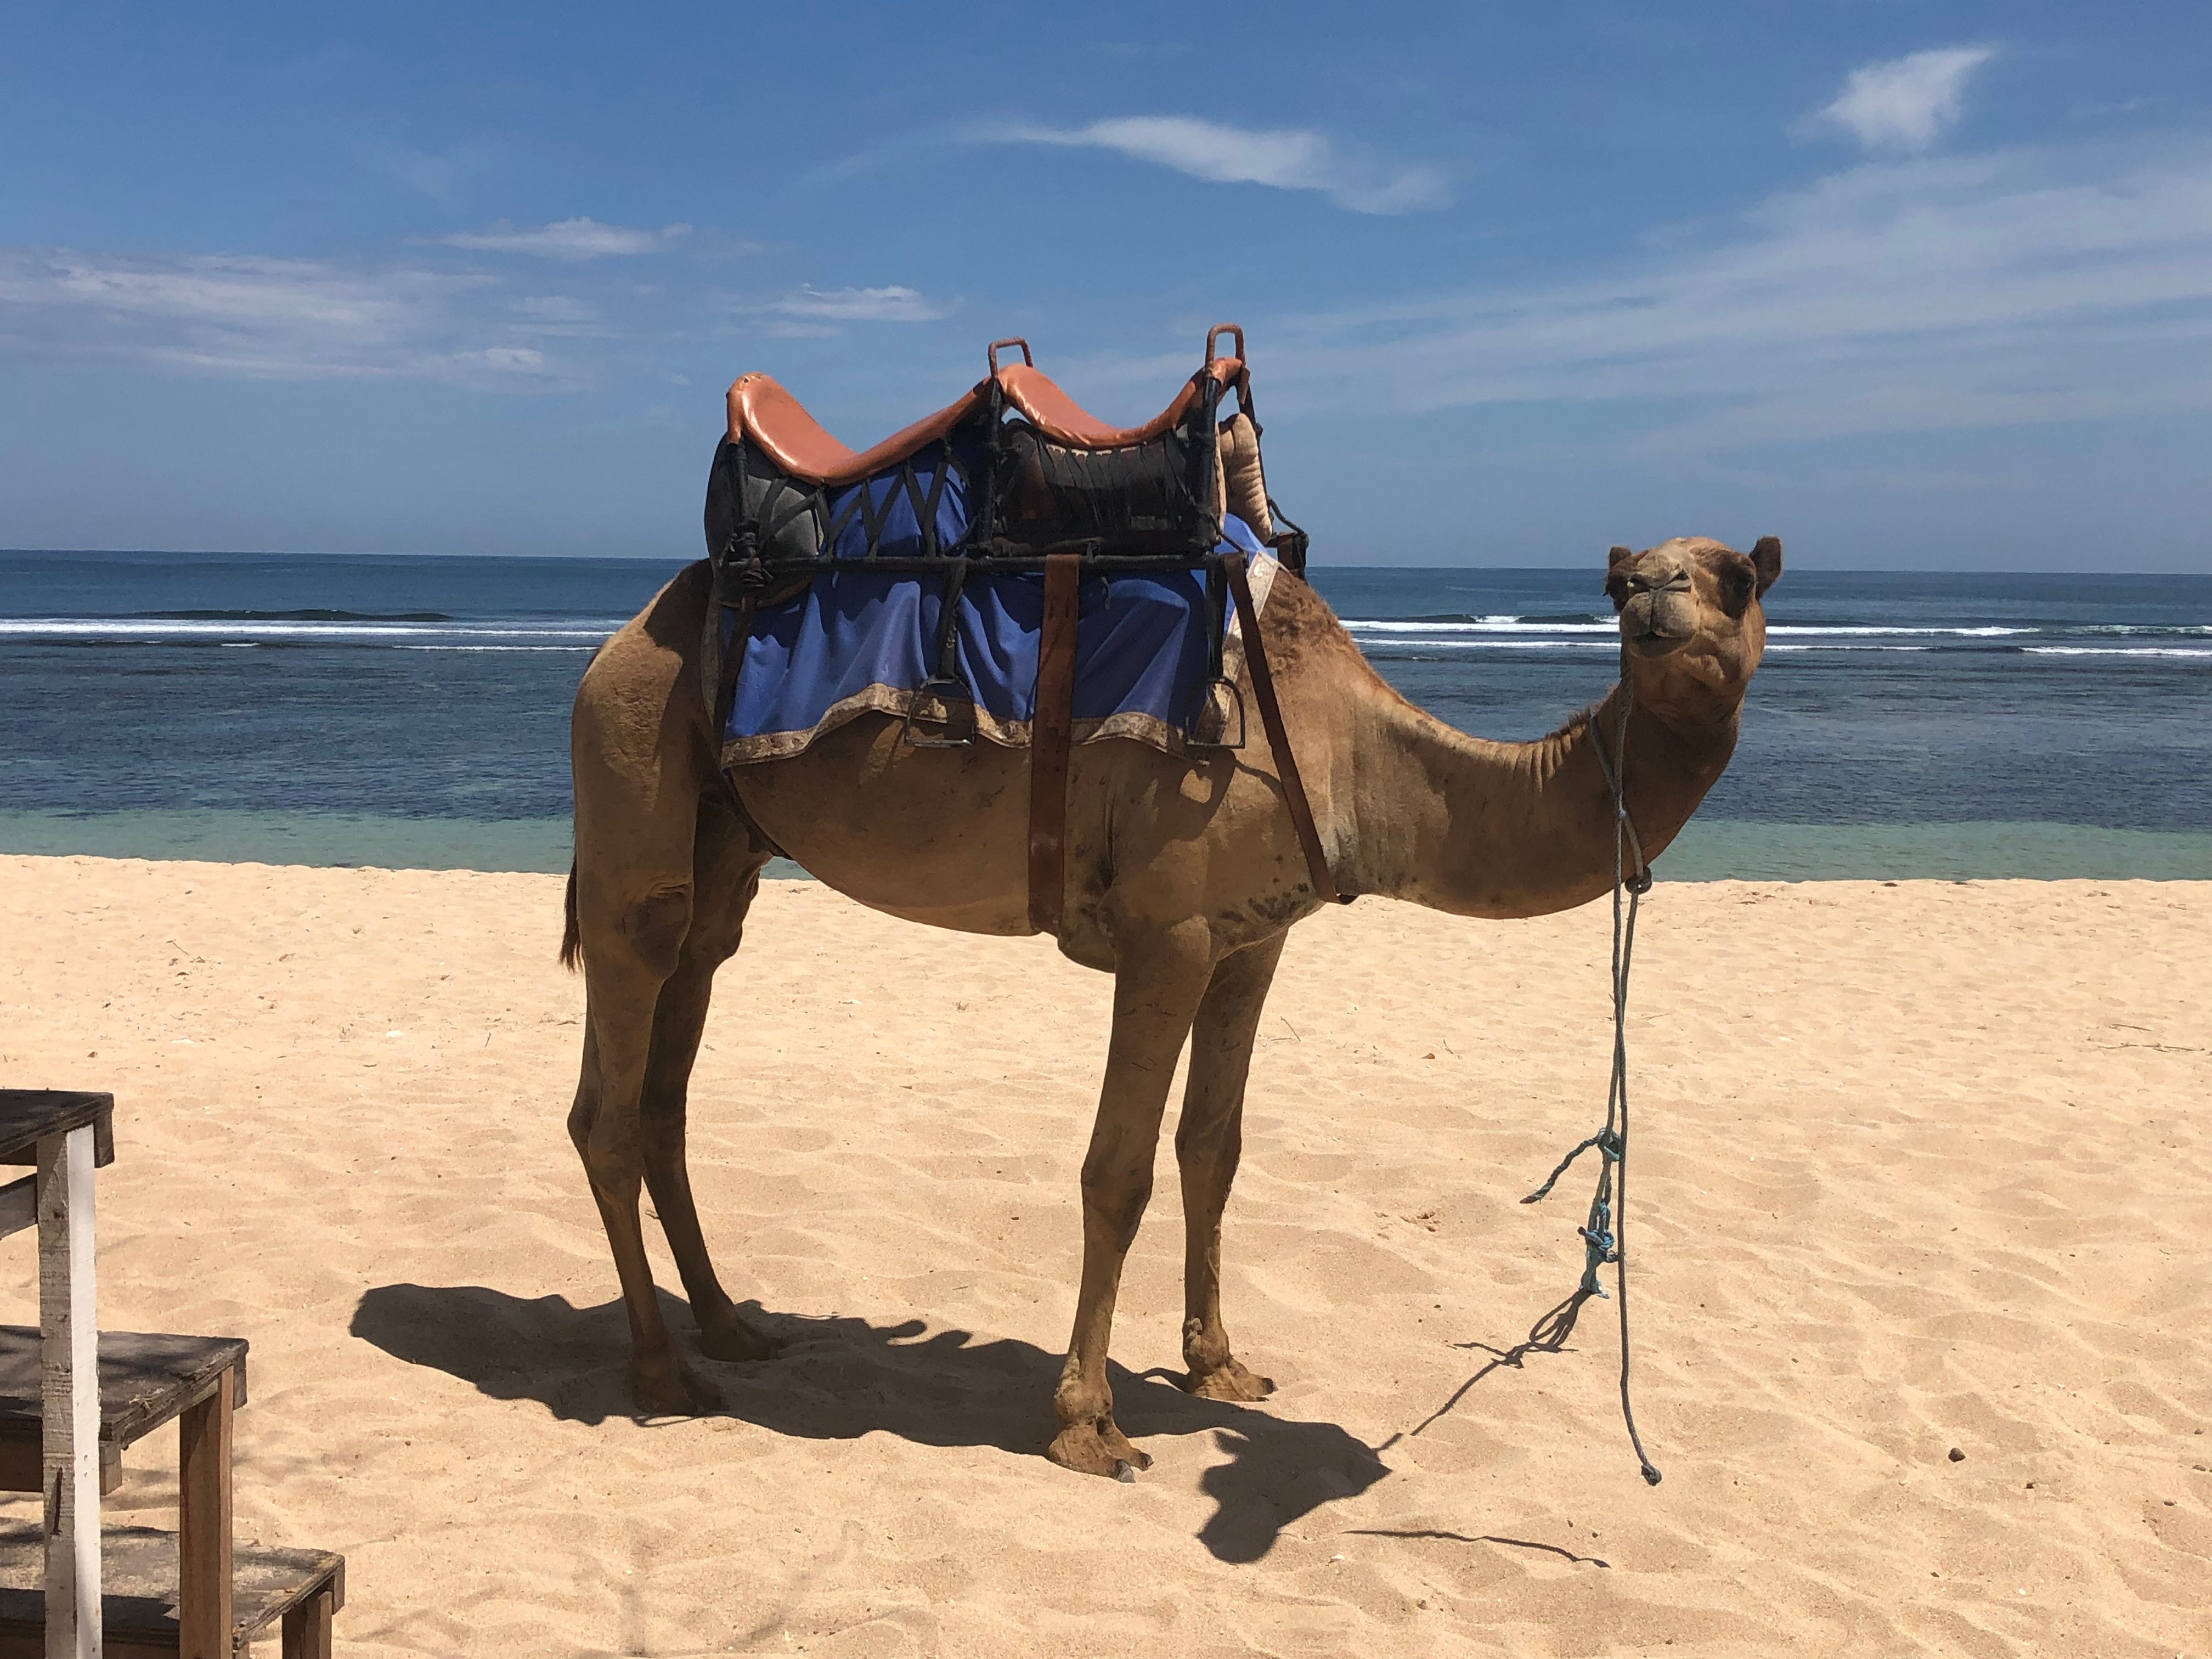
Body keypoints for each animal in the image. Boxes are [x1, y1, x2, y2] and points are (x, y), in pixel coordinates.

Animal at [562, 533, 1780, 1476]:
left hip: (725, 840)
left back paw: (732, 1326)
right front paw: (1088, 1422)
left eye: (1734, 577)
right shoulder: (1169, 936)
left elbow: (1214, 1147)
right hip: (633, 766)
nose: (1656, 604)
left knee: (675, 1045)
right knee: (611, 1090)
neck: (1350, 755)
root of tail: (616, 643)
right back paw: (664, 1370)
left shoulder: (1252, 941)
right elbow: (1119, 1172)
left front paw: (1220, 1362)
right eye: (1624, 584)